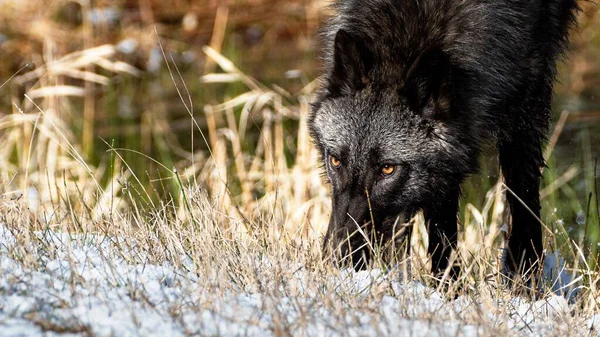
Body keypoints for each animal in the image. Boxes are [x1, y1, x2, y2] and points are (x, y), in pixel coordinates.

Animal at [308, 0, 580, 276]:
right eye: (336, 161)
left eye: (387, 168)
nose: (338, 258)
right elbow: (438, 223)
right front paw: (440, 280)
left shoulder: (529, 95)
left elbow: (522, 194)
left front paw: (523, 275)